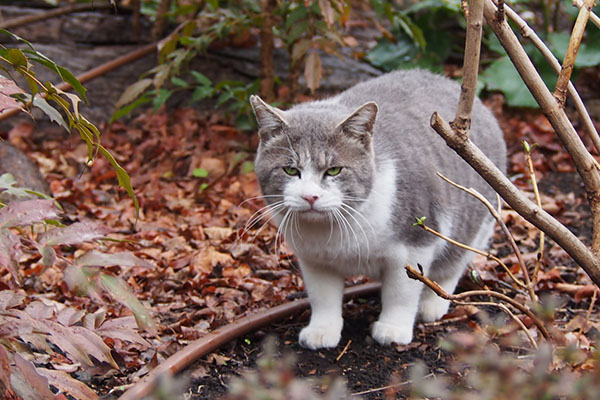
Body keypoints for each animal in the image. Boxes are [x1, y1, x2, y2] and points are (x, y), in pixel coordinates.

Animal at [248, 70, 506, 348]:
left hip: (474, 225)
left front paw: (393, 329)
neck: (336, 230)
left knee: (454, 263)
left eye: (334, 170)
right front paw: (322, 330)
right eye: (290, 170)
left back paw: (433, 303)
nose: (310, 196)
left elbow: (401, 293)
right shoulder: (314, 258)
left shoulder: (415, 244)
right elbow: (322, 295)